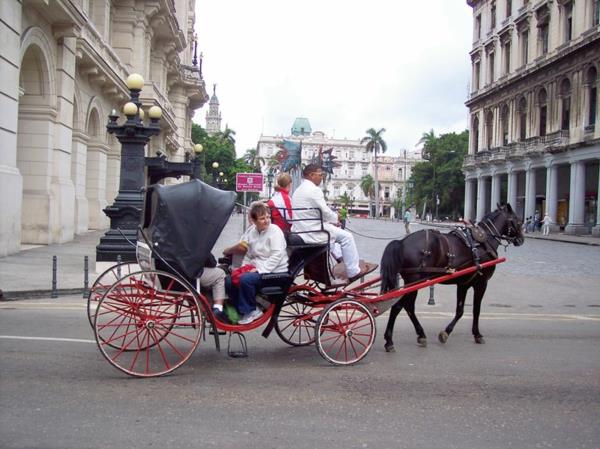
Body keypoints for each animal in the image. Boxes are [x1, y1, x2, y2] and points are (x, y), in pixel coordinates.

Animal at [380, 201, 524, 352]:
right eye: (519, 221)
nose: (521, 239)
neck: (484, 241)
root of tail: (401, 242)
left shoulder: (463, 284)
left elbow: (460, 310)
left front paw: (446, 333)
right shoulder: (481, 283)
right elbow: (476, 309)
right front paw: (477, 334)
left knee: (408, 307)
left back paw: (420, 335)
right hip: (415, 281)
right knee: (400, 306)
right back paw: (390, 340)